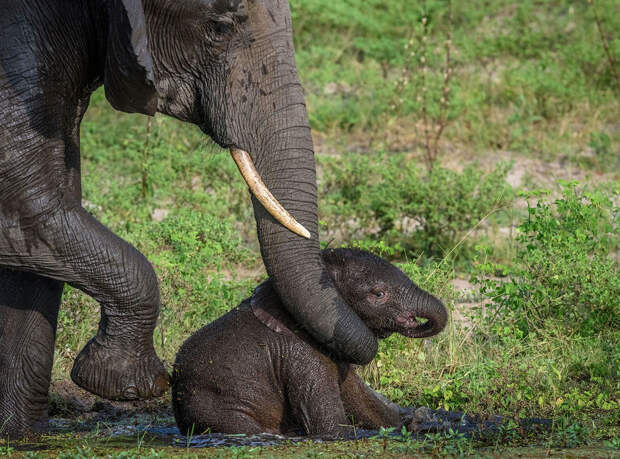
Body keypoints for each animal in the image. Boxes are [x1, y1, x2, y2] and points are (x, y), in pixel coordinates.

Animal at [172, 250, 448, 436]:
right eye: (378, 294)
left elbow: (364, 404)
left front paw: (419, 423)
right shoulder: (304, 355)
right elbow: (331, 426)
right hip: (216, 406)